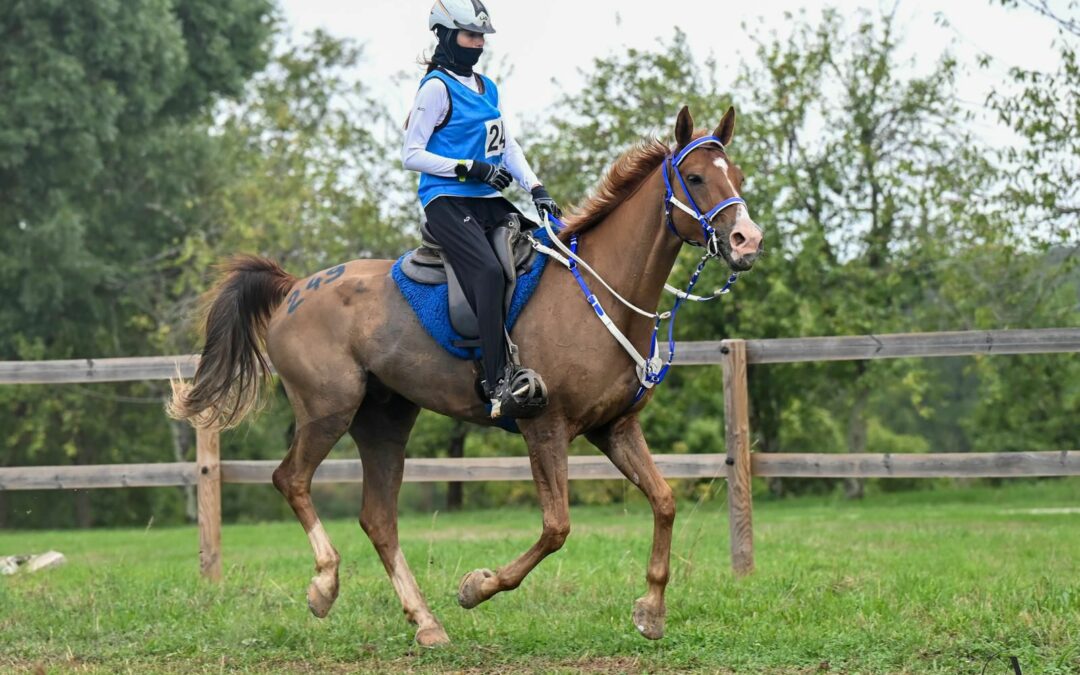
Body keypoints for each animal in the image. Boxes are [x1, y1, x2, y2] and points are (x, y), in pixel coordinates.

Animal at [169, 105, 763, 646]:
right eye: (694, 178)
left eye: (737, 176)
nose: (747, 241)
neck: (599, 292)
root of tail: (294, 288)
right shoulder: (544, 427)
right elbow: (557, 528)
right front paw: (476, 587)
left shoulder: (614, 428)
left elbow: (664, 501)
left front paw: (650, 611)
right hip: (327, 409)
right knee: (290, 479)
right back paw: (325, 586)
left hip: (384, 422)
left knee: (378, 519)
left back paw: (425, 623)